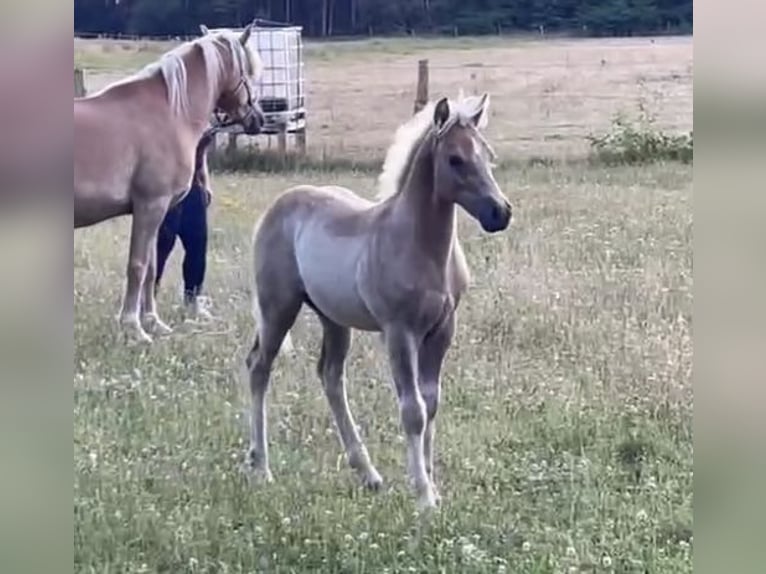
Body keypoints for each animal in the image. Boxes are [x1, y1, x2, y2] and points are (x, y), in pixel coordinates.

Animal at [75, 24, 268, 344]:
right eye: (249, 73)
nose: (258, 120)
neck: (169, 112)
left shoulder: (160, 211)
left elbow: (153, 266)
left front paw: (153, 322)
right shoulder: (150, 206)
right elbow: (138, 265)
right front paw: (133, 327)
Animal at [243, 92, 512, 510]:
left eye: (488, 153)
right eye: (455, 159)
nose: (500, 213)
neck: (421, 247)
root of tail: (278, 205)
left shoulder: (442, 331)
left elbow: (432, 403)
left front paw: (432, 483)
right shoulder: (399, 332)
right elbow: (413, 410)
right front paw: (423, 496)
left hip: (334, 319)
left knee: (331, 376)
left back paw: (368, 474)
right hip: (278, 308)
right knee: (259, 367)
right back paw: (261, 468)